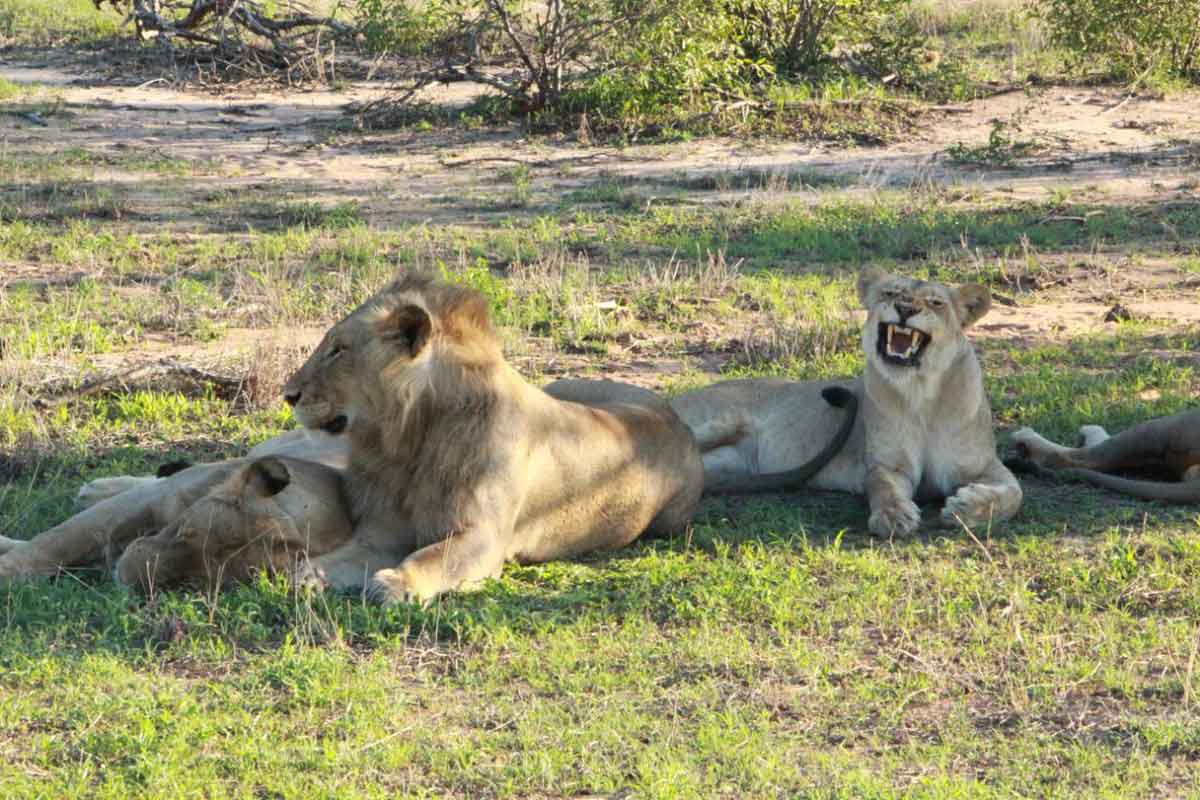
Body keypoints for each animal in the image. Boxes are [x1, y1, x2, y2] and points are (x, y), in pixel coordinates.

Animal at [281, 274, 704, 604]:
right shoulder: (380, 530)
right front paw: (308, 576)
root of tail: (677, 420)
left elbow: (431, 558)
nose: (288, 395)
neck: (403, 442)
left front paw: (395, 584)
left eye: (338, 350)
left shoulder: (483, 538)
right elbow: (337, 557)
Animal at [668, 266, 1022, 536]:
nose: (906, 309)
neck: (921, 393)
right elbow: (882, 488)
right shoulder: (888, 465)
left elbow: (1014, 493)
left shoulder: (985, 465)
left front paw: (967, 508)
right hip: (718, 421)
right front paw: (893, 517)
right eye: (890, 293)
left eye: (936, 302)